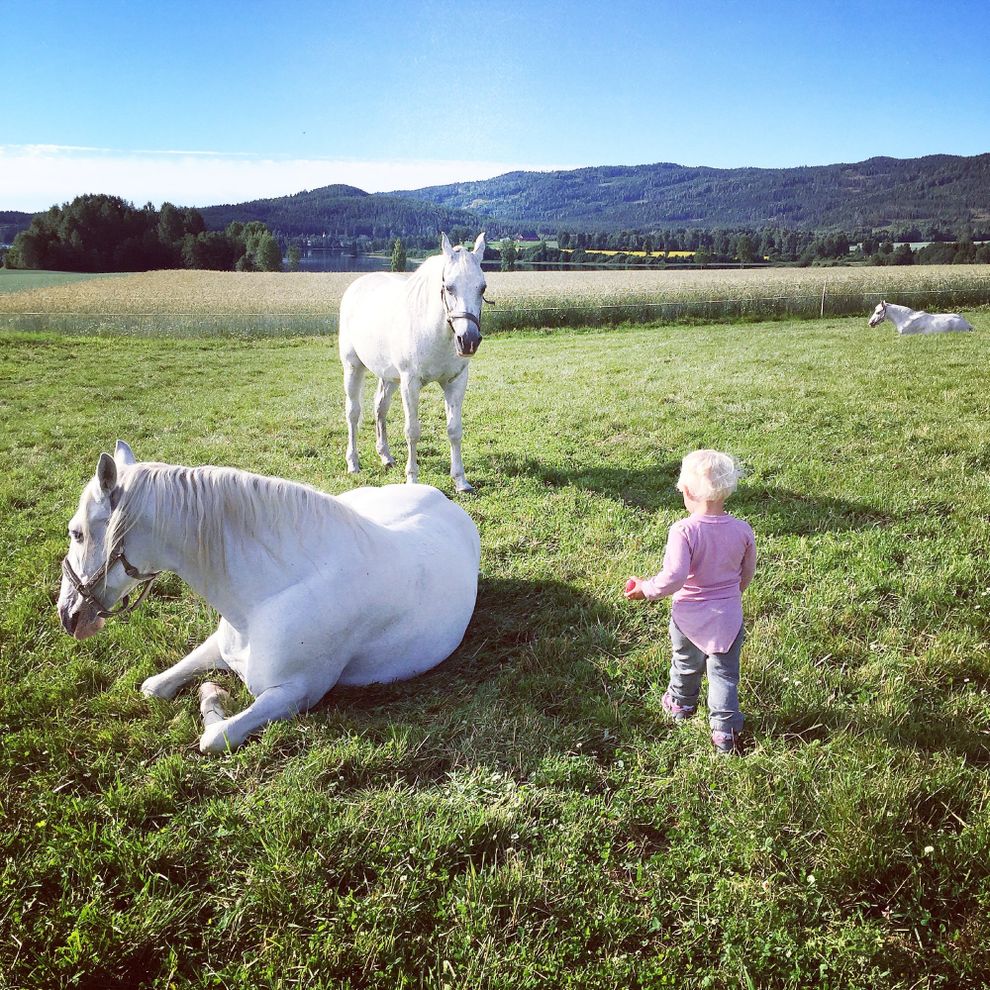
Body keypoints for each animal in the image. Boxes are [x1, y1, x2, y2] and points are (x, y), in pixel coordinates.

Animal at [56, 442, 482, 752]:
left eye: (77, 532)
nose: (68, 615)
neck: (270, 594)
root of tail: (440, 495)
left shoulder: (294, 693)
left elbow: (215, 737)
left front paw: (212, 696)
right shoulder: (221, 646)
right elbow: (154, 687)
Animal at [340, 233, 490, 496]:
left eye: (482, 288)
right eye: (449, 287)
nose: (468, 340)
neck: (432, 328)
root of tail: (357, 285)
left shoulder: (455, 382)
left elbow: (454, 430)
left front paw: (461, 481)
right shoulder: (410, 384)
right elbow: (412, 431)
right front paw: (412, 479)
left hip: (389, 377)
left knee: (380, 408)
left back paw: (386, 457)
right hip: (353, 367)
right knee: (353, 413)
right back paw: (353, 463)